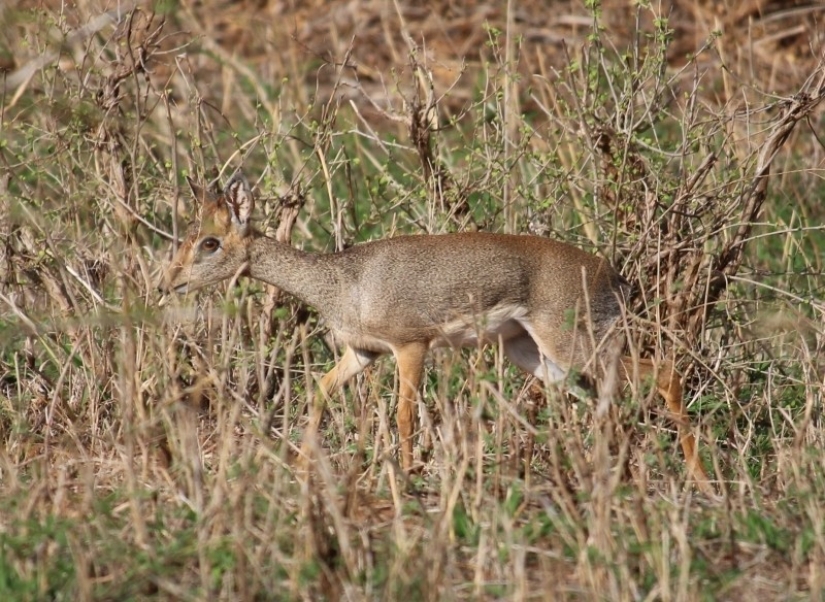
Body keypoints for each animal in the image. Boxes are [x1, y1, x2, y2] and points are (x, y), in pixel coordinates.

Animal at [158, 173, 712, 492]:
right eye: (184, 238)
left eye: (210, 242)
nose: (169, 283)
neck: (344, 282)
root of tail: (613, 275)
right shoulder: (362, 354)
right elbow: (319, 391)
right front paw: (299, 468)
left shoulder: (411, 346)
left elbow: (405, 415)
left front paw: (405, 476)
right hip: (534, 354)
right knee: (611, 399)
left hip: (572, 343)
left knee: (663, 371)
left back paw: (700, 480)